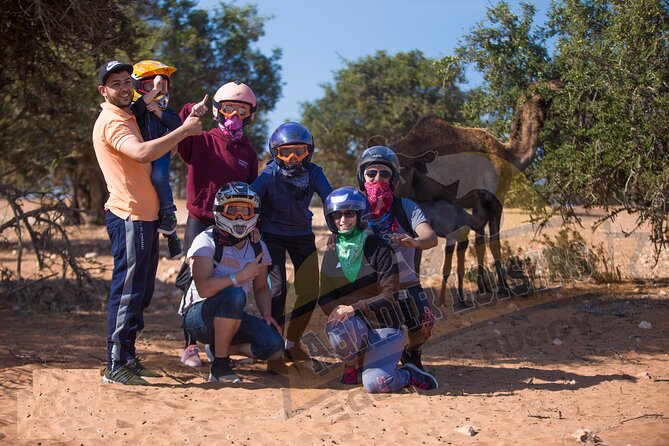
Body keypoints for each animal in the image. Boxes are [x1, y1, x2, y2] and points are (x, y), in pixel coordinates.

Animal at [392, 81, 560, 304]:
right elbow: (494, 243)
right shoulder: (495, 199)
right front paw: (504, 289)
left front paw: (484, 288)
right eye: (542, 89)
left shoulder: (477, 203)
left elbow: (479, 244)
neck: (509, 157)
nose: (560, 83)